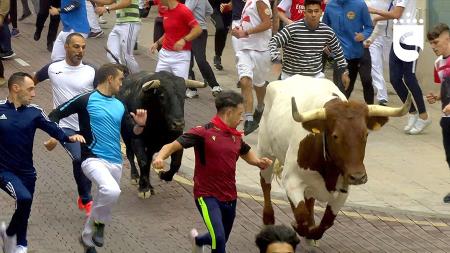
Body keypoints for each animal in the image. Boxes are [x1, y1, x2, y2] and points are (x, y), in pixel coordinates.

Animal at [118, 70, 206, 198]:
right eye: (162, 96)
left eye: (183, 96)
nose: (178, 124)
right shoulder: (137, 139)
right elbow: (142, 161)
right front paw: (143, 188)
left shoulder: (176, 139)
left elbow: (176, 163)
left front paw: (163, 175)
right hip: (126, 136)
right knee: (130, 154)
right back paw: (135, 176)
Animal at [256, 75, 412, 243]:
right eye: (336, 136)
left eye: (365, 134)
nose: (358, 177)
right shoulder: (291, 180)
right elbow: (301, 216)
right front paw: (298, 227)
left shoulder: (344, 189)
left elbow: (327, 221)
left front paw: (311, 232)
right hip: (265, 152)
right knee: (265, 185)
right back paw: (268, 220)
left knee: (309, 199)